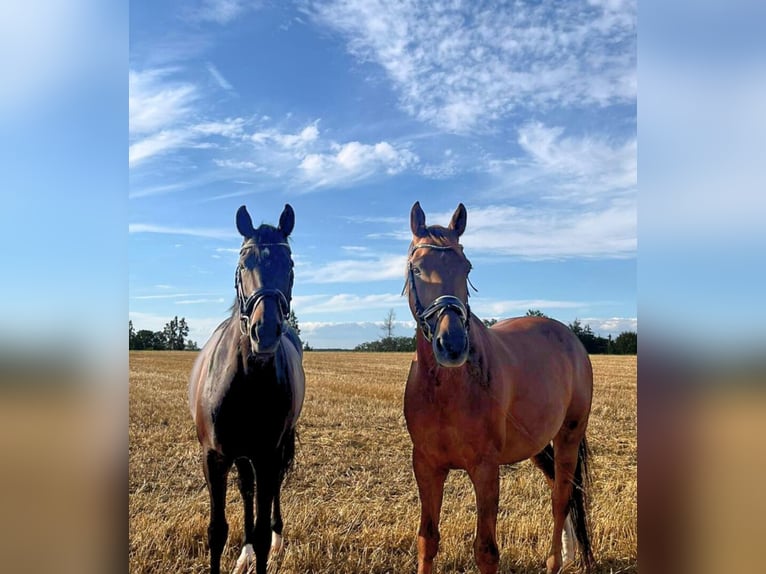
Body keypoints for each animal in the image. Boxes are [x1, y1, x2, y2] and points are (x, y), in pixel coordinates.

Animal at [189, 205, 306, 574]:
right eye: (243, 264)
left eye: (289, 265)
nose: (264, 331)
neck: (246, 376)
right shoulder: (214, 458)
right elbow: (216, 531)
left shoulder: (267, 455)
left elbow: (263, 532)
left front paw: (266, 545)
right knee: (246, 489)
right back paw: (245, 553)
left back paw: (274, 538)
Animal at [404, 204, 596, 574]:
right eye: (417, 268)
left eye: (466, 267)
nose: (452, 345)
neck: (448, 390)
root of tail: (570, 338)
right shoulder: (426, 465)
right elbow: (427, 540)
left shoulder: (485, 469)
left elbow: (486, 550)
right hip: (540, 442)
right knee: (558, 489)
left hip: (569, 434)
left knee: (560, 497)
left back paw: (555, 561)